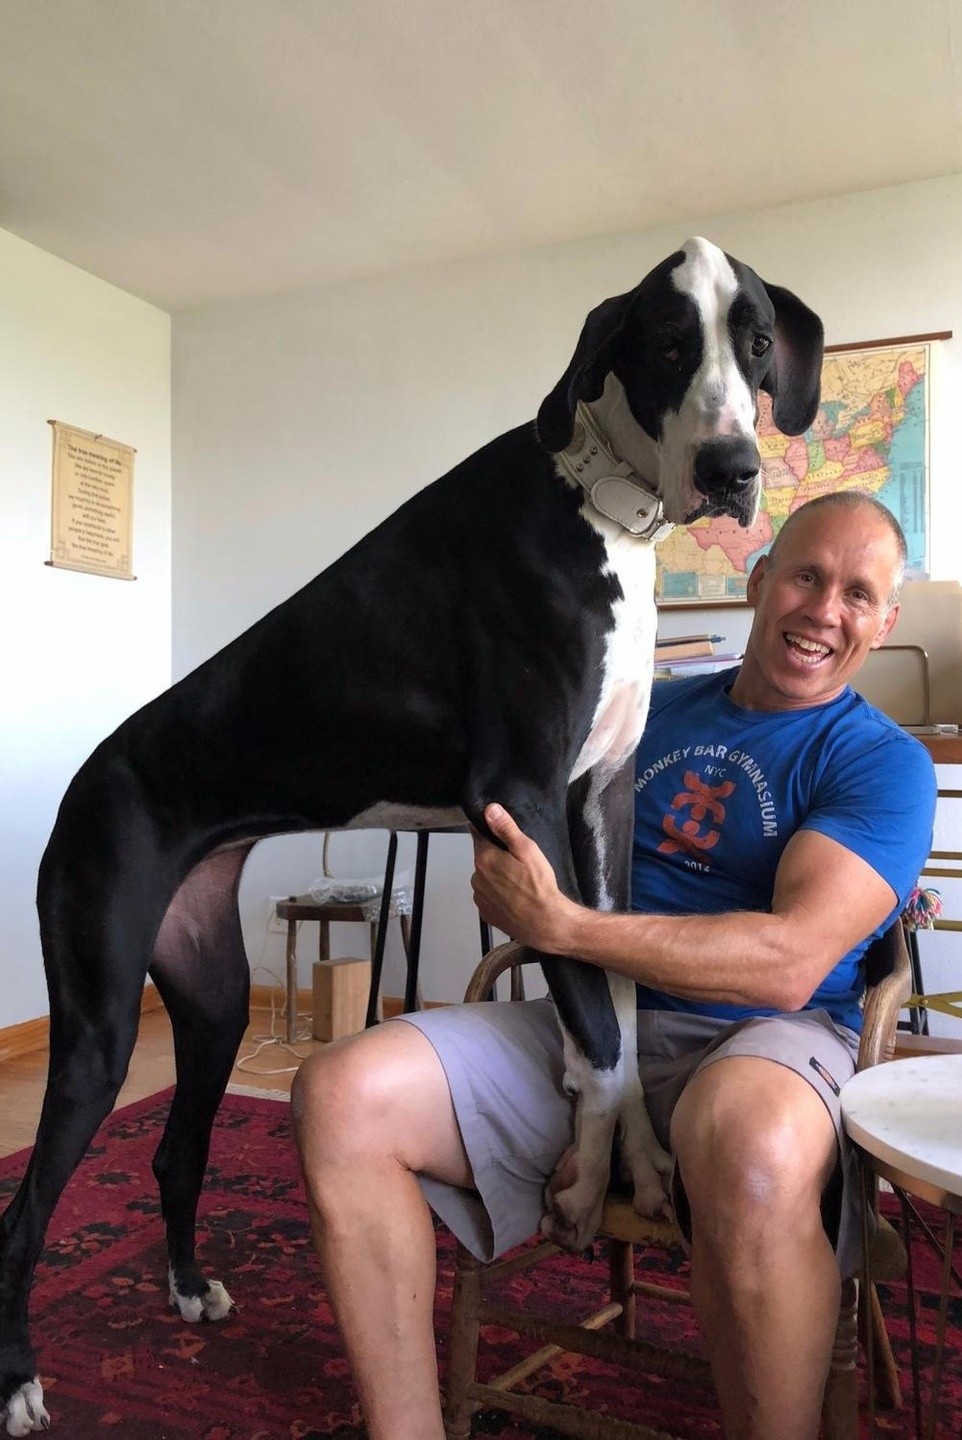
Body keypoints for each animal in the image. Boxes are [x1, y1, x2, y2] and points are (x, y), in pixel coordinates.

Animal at [0, 236, 822, 1435]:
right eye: (670, 345)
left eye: (756, 342)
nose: (729, 468)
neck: (598, 505)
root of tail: (86, 778)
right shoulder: (522, 799)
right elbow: (594, 1019)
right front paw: (586, 1174)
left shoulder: (602, 806)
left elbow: (616, 996)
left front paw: (633, 1161)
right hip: (100, 1020)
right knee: (25, 1212)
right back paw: (20, 1378)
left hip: (206, 998)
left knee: (174, 1150)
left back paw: (189, 1287)